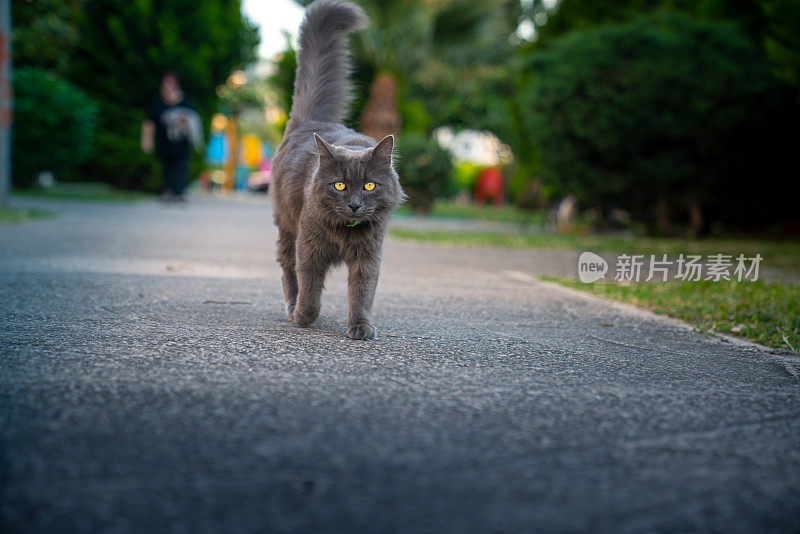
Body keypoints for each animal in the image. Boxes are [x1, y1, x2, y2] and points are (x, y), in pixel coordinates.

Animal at [270, 0, 406, 342]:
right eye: (340, 186)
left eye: (369, 186)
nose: (355, 205)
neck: (346, 232)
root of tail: (310, 121)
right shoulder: (309, 247)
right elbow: (309, 288)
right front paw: (304, 316)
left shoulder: (368, 256)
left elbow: (361, 294)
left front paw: (361, 328)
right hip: (286, 227)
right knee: (287, 271)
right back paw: (291, 309)